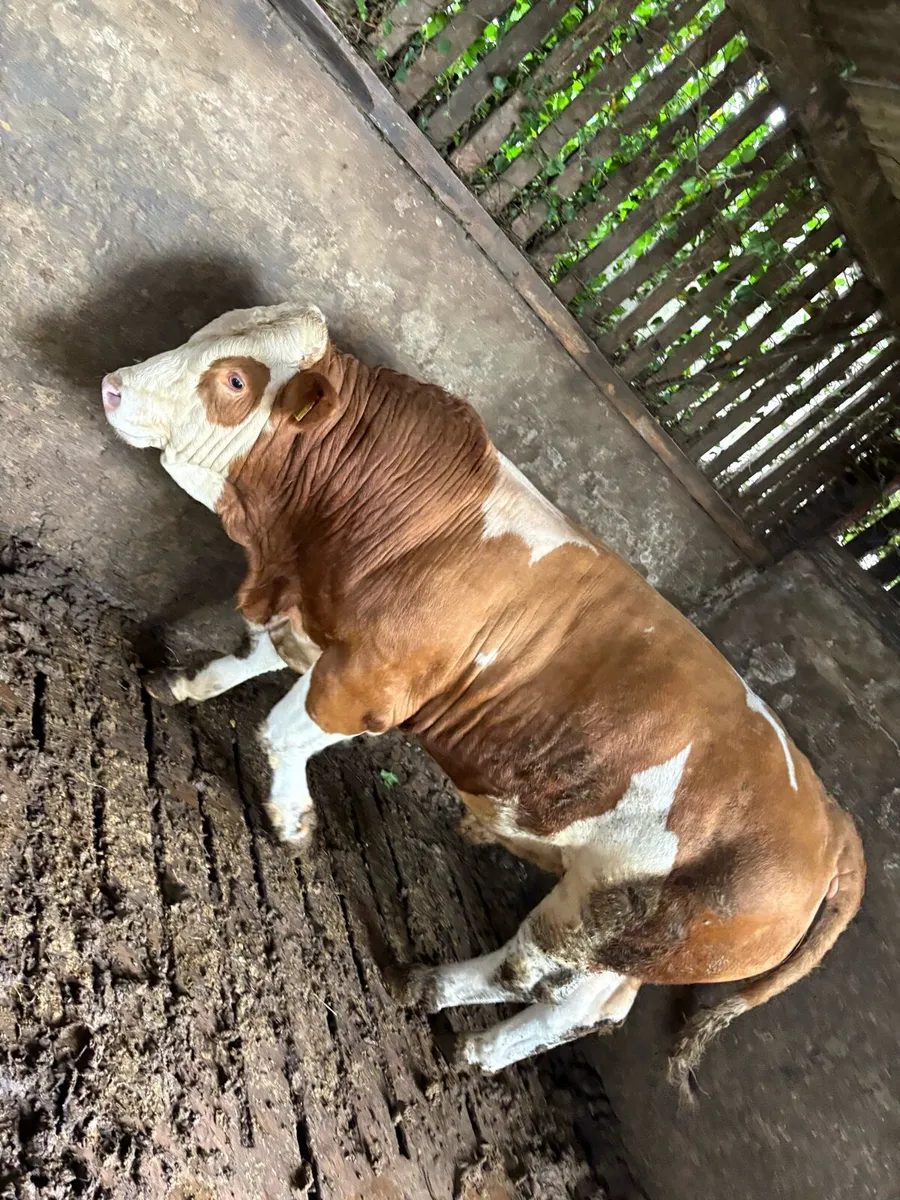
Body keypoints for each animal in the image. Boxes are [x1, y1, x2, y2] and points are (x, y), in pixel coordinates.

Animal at [100, 301, 865, 1091]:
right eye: (206, 334)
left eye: (234, 379)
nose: (112, 385)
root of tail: (837, 827)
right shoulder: (315, 620)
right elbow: (247, 659)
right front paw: (182, 684)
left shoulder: (371, 681)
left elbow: (281, 731)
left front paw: (291, 820)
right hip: (632, 942)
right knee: (588, 1008)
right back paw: (472, 1043)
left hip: (604, 913)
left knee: (533, 973)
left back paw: (431, 987)